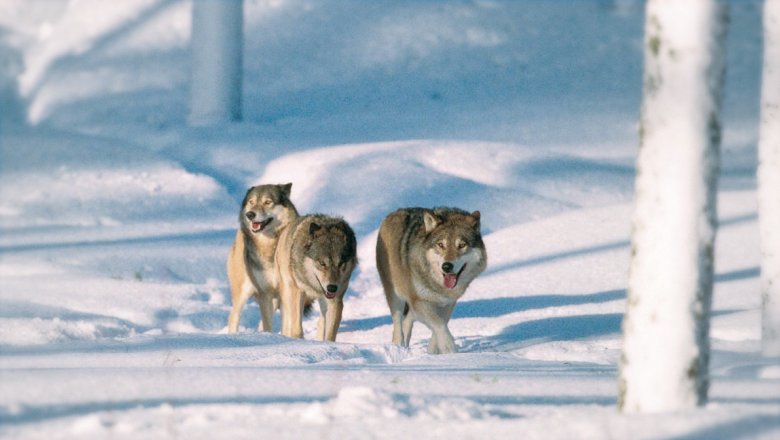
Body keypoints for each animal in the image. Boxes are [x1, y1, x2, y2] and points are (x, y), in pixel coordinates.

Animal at [374, 207, 484, 354]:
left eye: (461, 245)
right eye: (441, 245)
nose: (447, 266)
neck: (437, 285)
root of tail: (395, 212)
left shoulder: (448, 303)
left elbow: (441, 324)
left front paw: (432, 353)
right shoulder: (419, 301)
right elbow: (439, 324)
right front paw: (451, 350)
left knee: (408, 321)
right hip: (395, 296)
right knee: (398, 325)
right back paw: (398, 348)